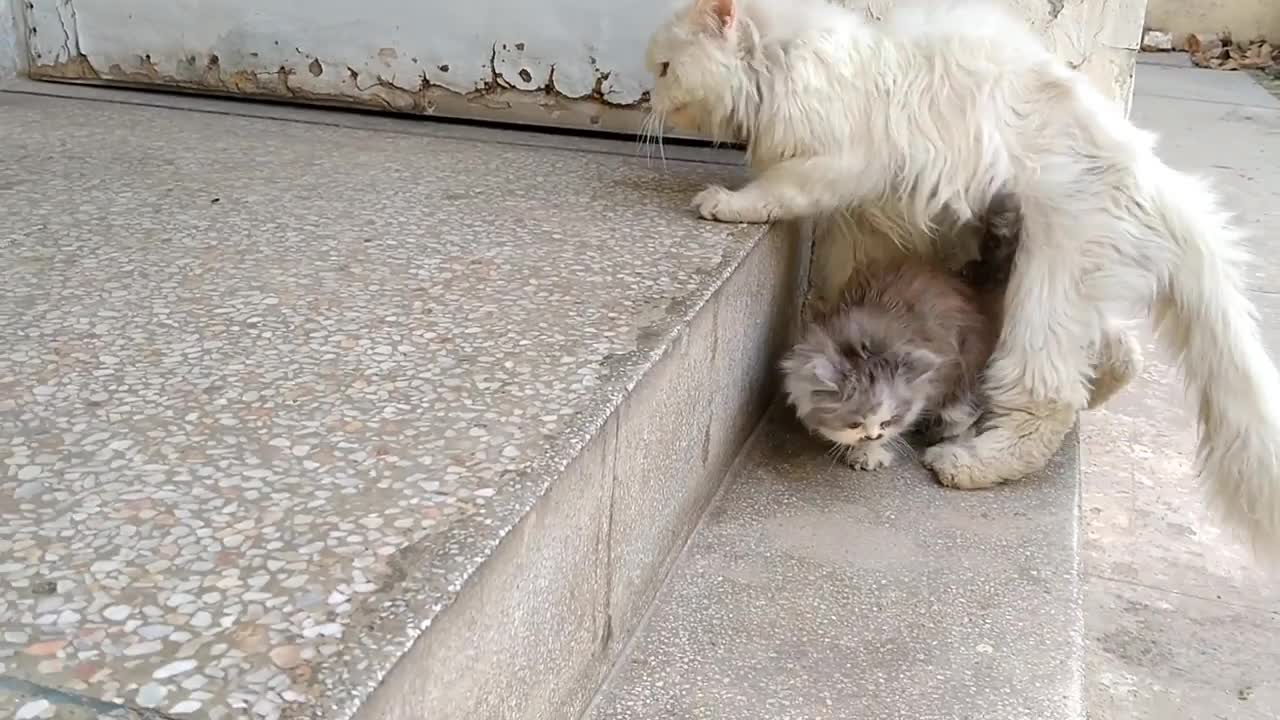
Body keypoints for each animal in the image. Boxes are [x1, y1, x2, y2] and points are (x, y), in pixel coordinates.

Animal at [778, 194, 1018, 471]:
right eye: (855, 423)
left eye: (888, 421)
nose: (873, 435)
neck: (865, 341)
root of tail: (974, 286)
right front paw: (862, 449)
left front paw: (870, 452)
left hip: (968, 363)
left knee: (965, 408)